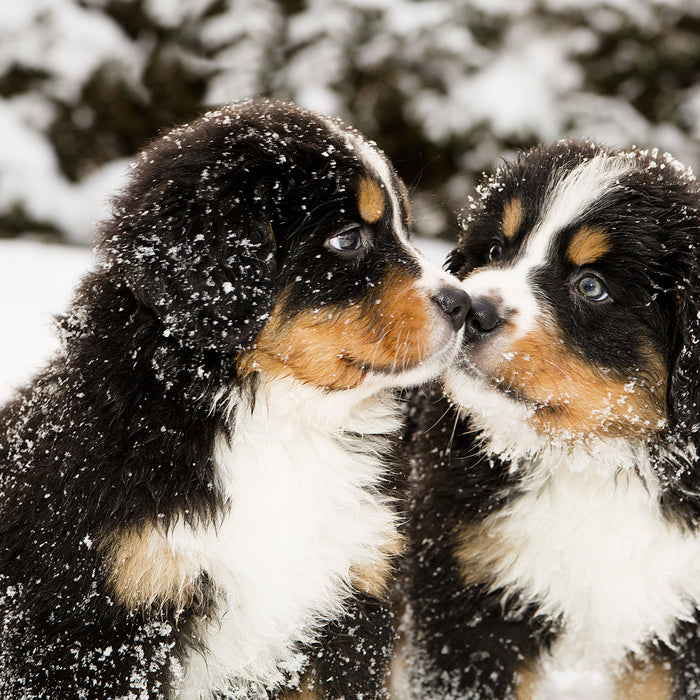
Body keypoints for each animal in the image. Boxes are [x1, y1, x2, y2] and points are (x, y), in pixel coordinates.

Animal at [1, 98, 470, 700]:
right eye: (347, 239)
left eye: (406, 228)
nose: (465, 305)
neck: (280, 422)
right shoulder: (97, 625)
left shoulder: (352, 605)